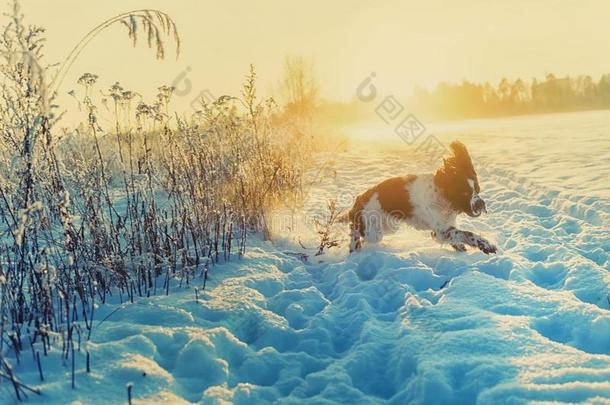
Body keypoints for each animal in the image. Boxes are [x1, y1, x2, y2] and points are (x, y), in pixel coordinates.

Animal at [346, 141, 494, 252]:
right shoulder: (442, 231)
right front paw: (486, 245)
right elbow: (467, 233)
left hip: (387, 226)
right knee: (355, 229)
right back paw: (354, 246)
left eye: (477, 189)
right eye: (463, 193)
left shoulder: (443, 229)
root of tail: (360, 198)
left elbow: (458, 237)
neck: (443, 197)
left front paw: (461, 247)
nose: (481, 204)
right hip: (374, 231)